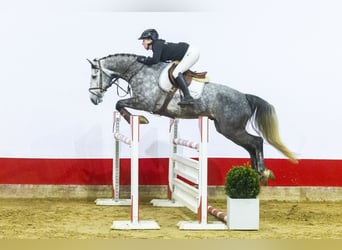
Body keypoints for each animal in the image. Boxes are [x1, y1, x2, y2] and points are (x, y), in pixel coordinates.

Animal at [87, 53, 296, 182]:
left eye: (94, 75)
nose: (93, 99)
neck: (140, 71)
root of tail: (244, 96)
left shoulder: (144, 102)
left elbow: (119, 103)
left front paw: (139, 120)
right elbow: (119, 104)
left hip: (231, 129)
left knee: (256, 141)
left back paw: (263, 172)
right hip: (227, 129)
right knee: (251, 145)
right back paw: (256, 173)